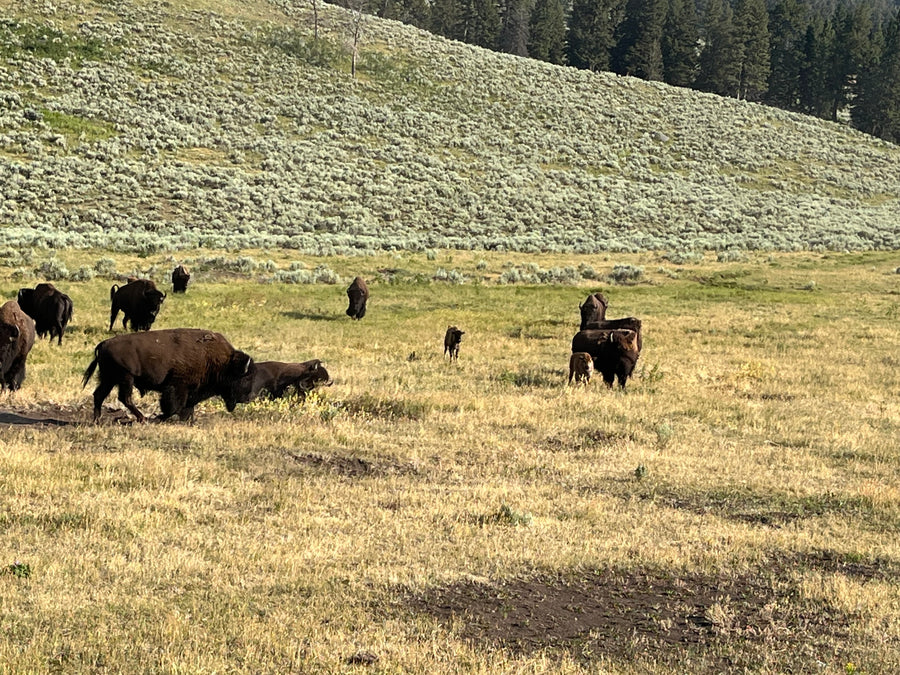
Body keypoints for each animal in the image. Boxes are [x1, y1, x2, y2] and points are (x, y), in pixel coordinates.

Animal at [82, 328, 255, 423]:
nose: (246, 398)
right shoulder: (178, 386)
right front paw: (160, 418)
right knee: (125, 398)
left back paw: (97, 420)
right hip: (126, 378)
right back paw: (142, 419)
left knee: (99, 395)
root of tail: (103, 344)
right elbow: (173, 407)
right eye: (244, 378)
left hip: (109, 379)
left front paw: (190, 419)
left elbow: (187, 406)